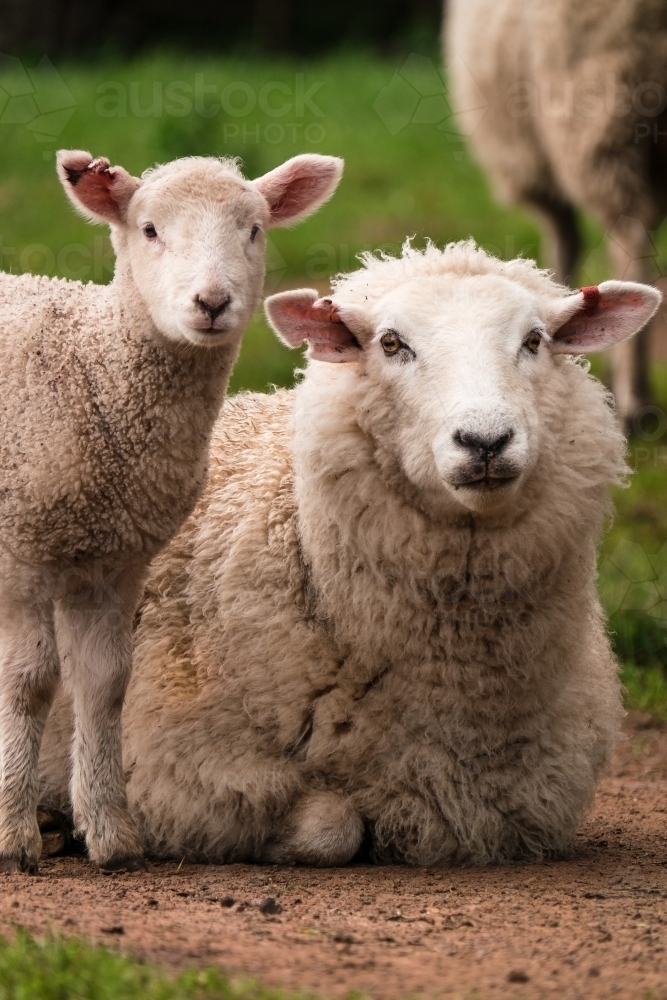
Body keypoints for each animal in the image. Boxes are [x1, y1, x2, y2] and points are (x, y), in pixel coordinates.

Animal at [0, 148, 343, 874]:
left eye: (253, 229)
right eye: (150, 230)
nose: (211, 302)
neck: (92, 367)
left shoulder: (115, 559)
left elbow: (105, 684)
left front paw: (110, 833)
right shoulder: (22, 547)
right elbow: (30, 682)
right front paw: (12, 834)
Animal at [38, 240, 660, 866]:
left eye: (534, 340)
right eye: (391, 343)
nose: (485, 441)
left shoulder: (527, 795)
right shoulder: (176, 767)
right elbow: (332, 826)